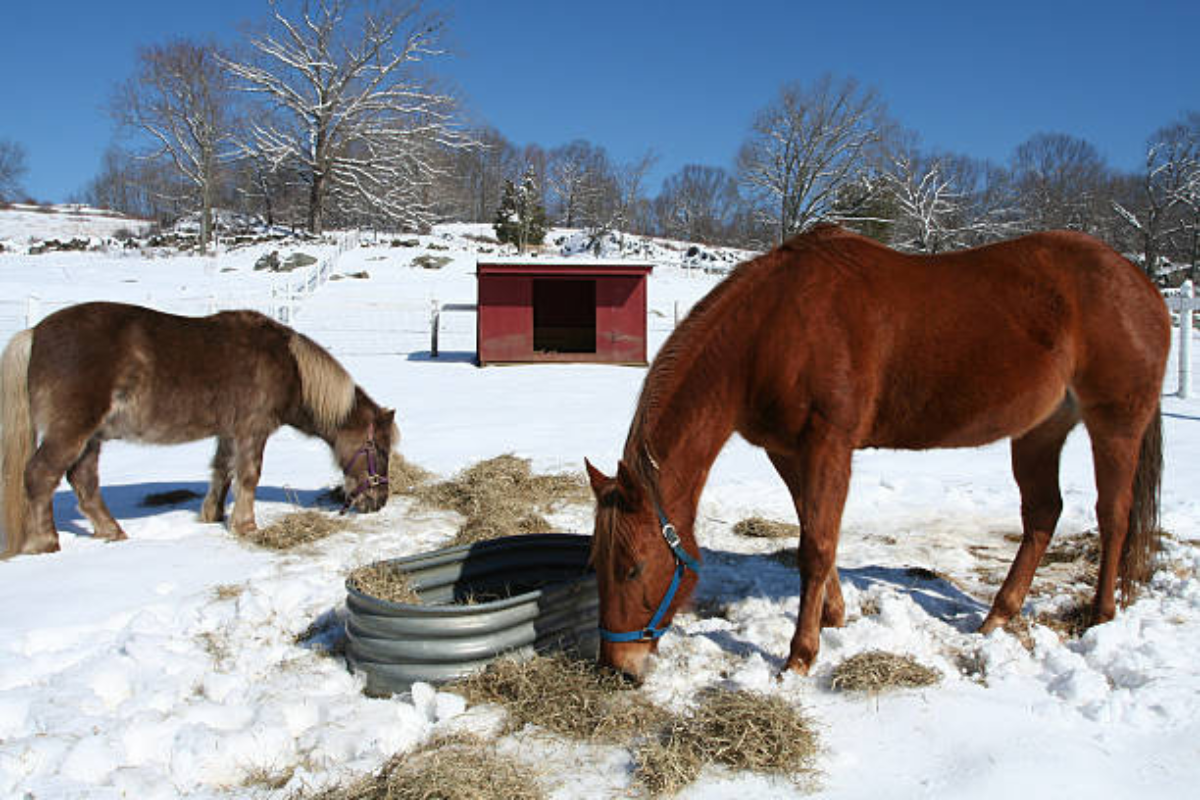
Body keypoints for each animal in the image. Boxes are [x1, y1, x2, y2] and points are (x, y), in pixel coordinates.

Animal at [4, 299, 398, 556]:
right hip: (73, 431)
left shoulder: (228, 433)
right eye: (378, 448)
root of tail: (34, 333)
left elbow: (222, 472)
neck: (289, 366)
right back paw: (45, 543)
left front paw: (213, 516)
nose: (378, 502)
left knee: (83, 481)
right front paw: (246, 526)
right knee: (40, 475)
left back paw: (112, 532)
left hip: (91, 438)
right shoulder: (251, 432)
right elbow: (248, 476)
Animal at [590, 225, 1171, 681]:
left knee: (1113, 516)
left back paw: (1101, 614)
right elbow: (814, 530)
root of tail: (1143, 285)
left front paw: (800, 657)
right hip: (1040, 432)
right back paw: (998, 617)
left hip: (1115, 425)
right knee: (1044, 514)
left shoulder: (829, 444)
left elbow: (816, 545)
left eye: (634, 569)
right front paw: (834, 616)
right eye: (597, 564)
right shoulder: (787, 451)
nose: (618, 668)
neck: (771, 329)